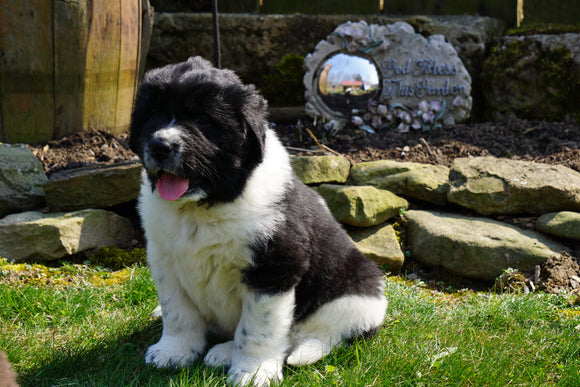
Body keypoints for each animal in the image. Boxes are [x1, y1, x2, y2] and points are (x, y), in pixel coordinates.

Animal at [129, 56, 388, 386]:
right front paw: (174, 352)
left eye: (202, 120)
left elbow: (257, 328)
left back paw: (227, 353)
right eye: (154, 115)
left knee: (307, 334)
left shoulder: (275, 267)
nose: (160, 146)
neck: (204, 206)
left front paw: (252, 372)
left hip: (355, 292)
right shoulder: (165, 259)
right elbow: (177, 312)